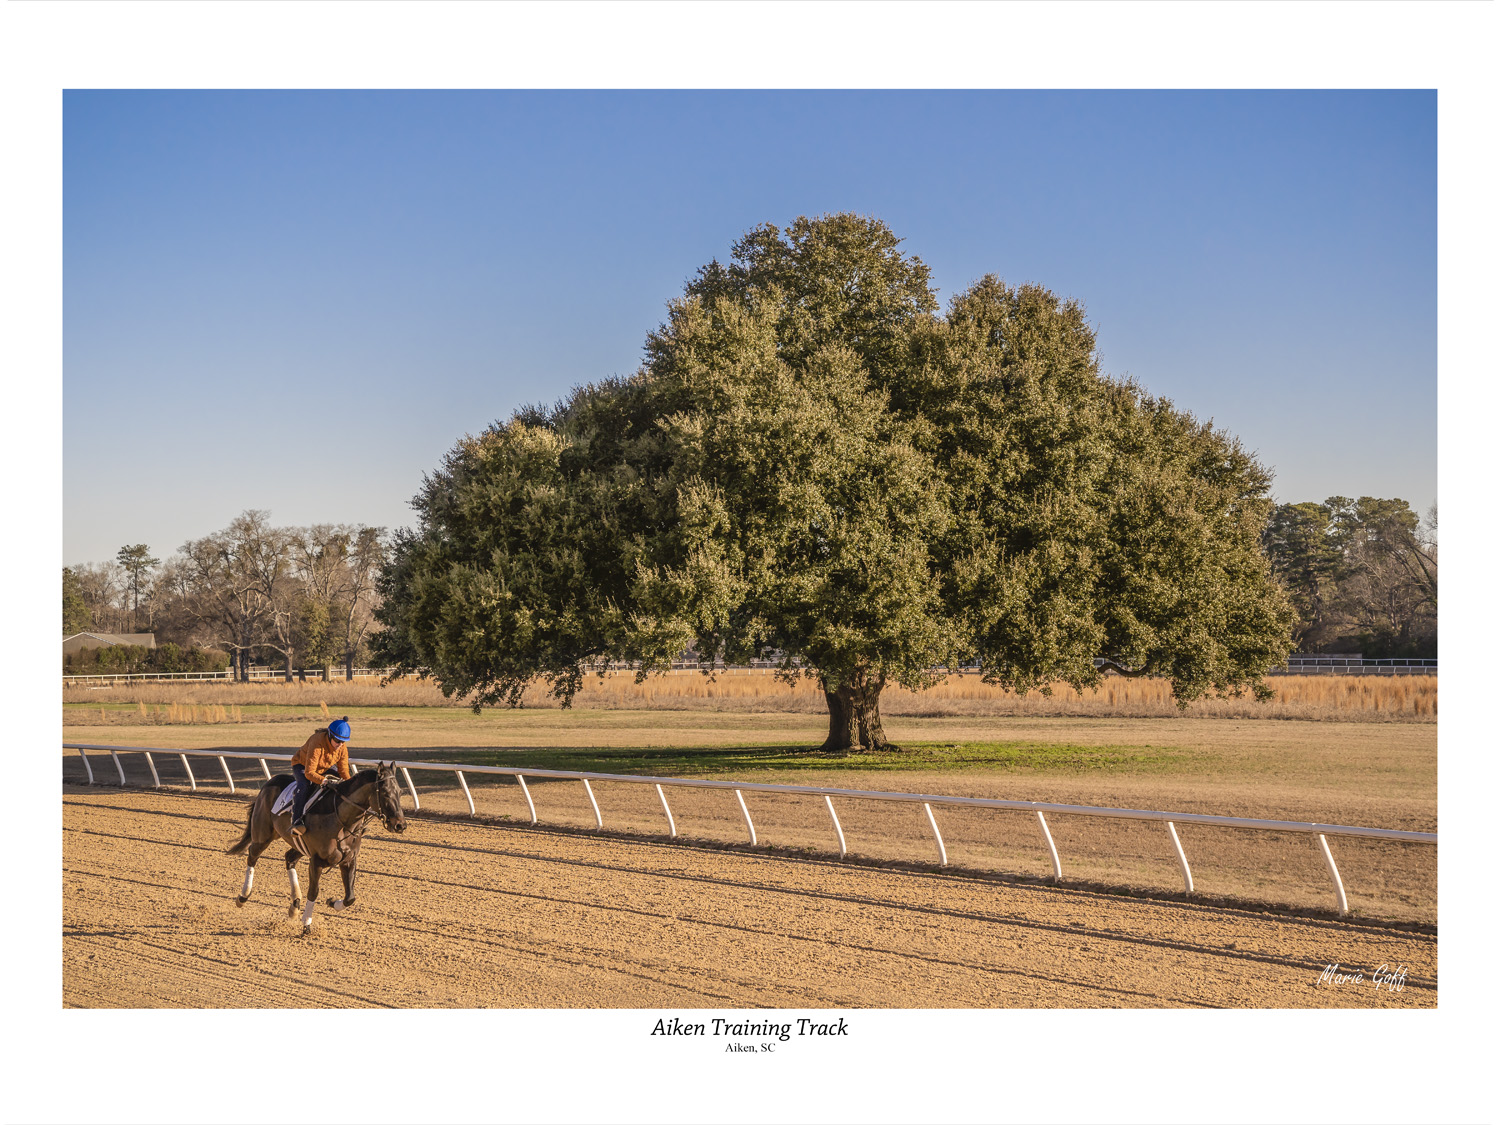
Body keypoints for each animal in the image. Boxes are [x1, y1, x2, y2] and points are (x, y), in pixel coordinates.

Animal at [225, 768, 408, 936]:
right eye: (385, 793)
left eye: (400, 792)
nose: (400, 825)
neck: (341, 819)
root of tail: (268, 784)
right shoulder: (316, 861)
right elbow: (313, 892)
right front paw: (306, 924)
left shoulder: (348, 860)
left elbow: (350, 897)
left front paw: (332, 902)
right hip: (263, 835)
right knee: (252, 856)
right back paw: (243, 896)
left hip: (296, 845)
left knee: (289, 858)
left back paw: (294, 905)